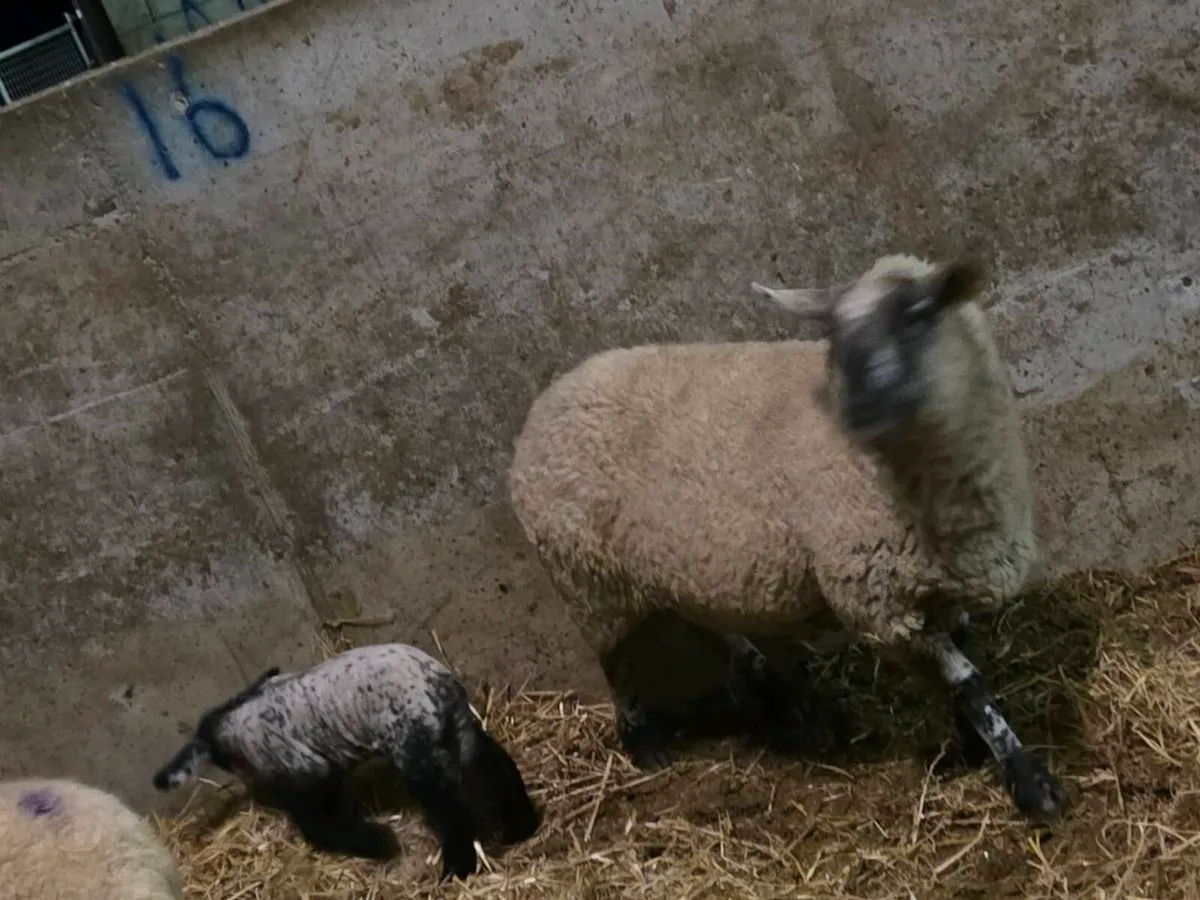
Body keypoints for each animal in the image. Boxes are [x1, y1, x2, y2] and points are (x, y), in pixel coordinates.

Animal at [152, 643, 541, 881]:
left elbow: (317, 826)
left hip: (413, 747)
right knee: (494, 768)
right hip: (459, 730)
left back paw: (456, 869)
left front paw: (379, 843)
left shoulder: (303, 773)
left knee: (451, 809)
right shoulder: (328, 772)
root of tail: (437, 684)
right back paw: (520, 827)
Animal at [507, 252, 1067, 821]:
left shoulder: (940, 583)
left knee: (707, 621)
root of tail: (547, 401)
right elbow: (968, 681)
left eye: (916, 315)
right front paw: (1029, 782)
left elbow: (964, 665)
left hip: (672, 562)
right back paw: (645, 744)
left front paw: (975, 747)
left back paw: (776, 691)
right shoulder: (876, 603)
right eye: (834, 336)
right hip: (586, 579)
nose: (859, 411)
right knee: (616, 664)